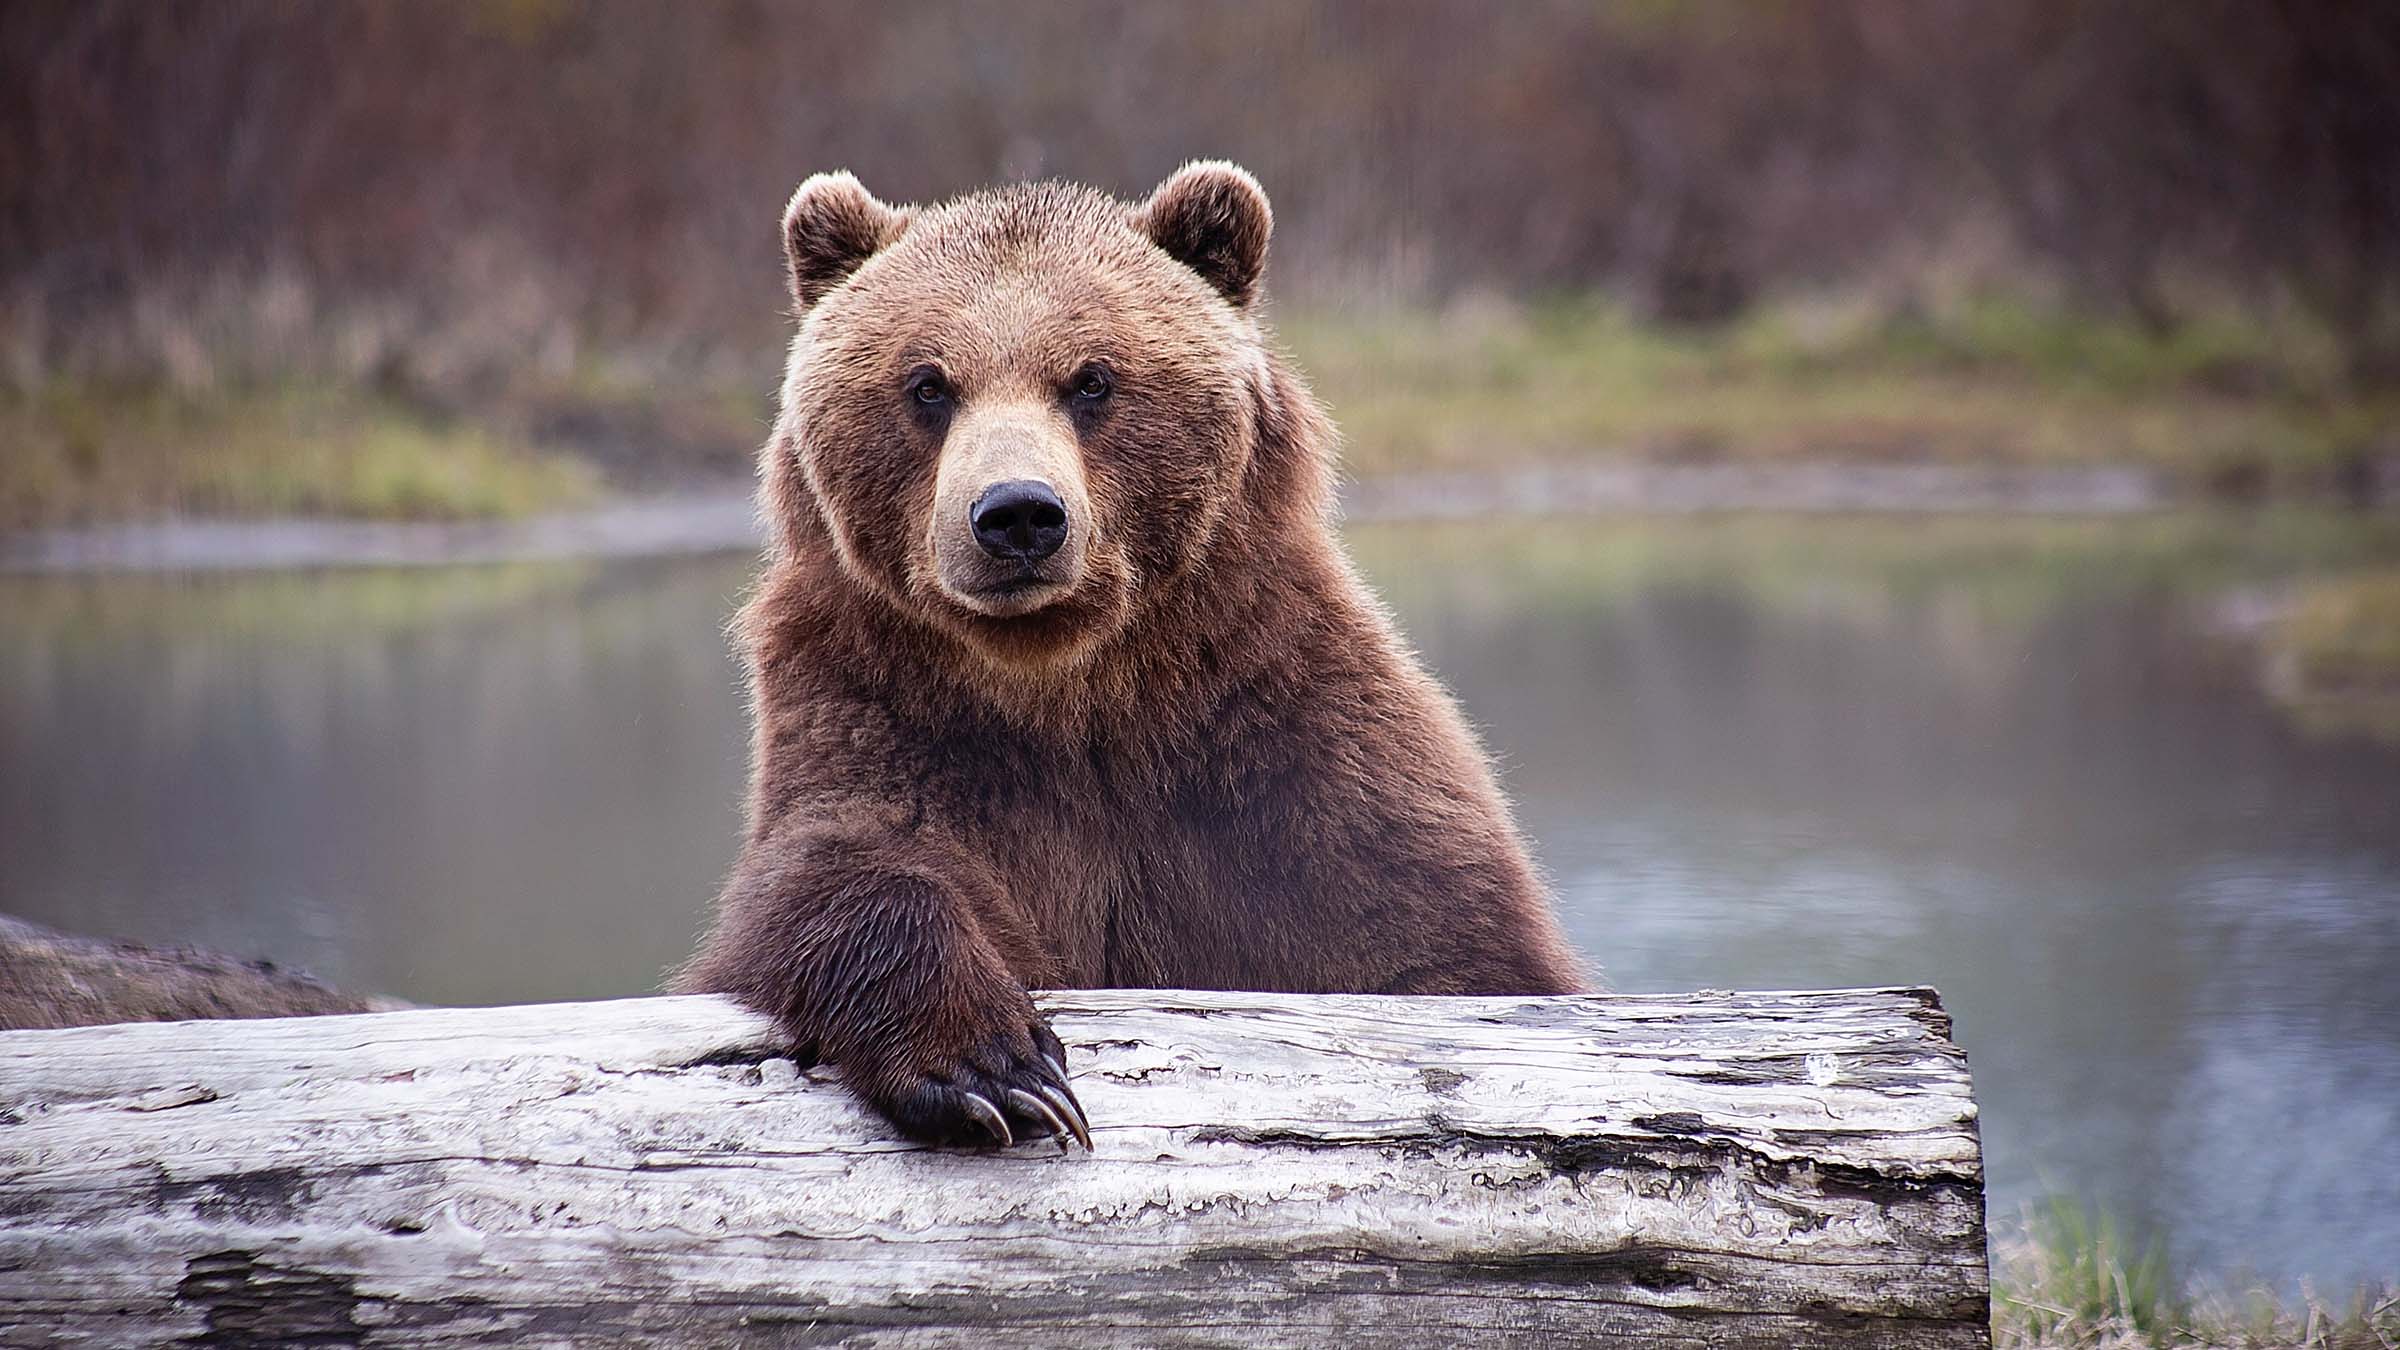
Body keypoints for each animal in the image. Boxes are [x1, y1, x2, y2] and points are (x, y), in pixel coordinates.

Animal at [676, 162, 1586, 1149]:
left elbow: (1441, 942)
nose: (1017, 514)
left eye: (1092, 379)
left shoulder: (1285, 749)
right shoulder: (880, 714)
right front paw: (995, 1071)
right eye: (927, 384)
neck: (1070, 688)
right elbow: (836, 869)